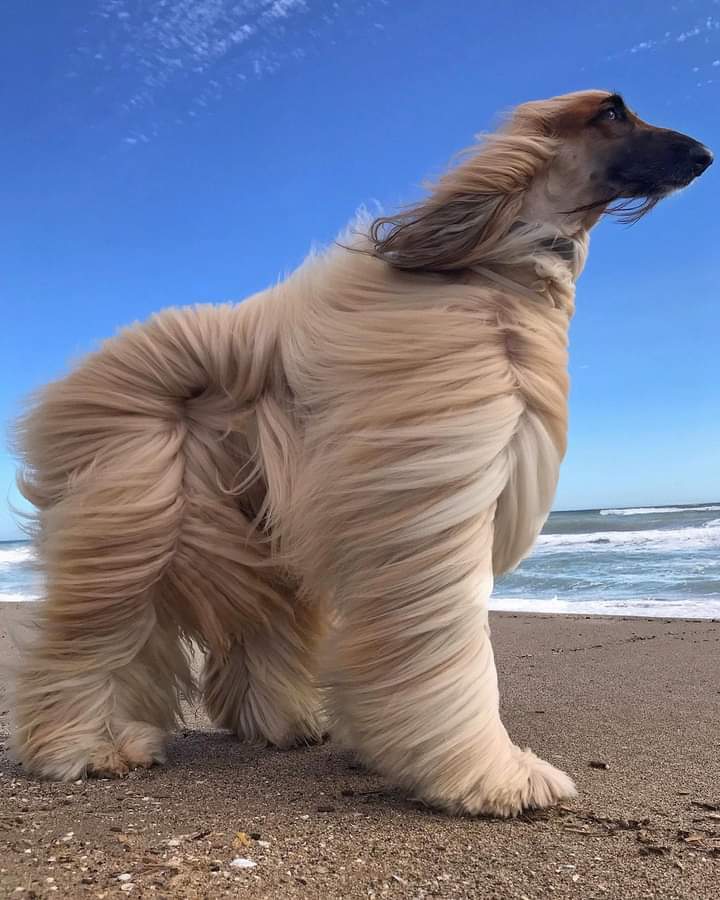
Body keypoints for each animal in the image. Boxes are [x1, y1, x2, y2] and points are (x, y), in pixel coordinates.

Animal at [11, 91, 708, 816]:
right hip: (141, 514)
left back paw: (281, 724)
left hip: (249, 524)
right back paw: (87, 747)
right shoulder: (438, 484)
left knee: (261, 618)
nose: (702, 155)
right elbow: (450, 634)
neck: (494, 271)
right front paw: (495, 775)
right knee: (97, 632)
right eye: (612, 113)